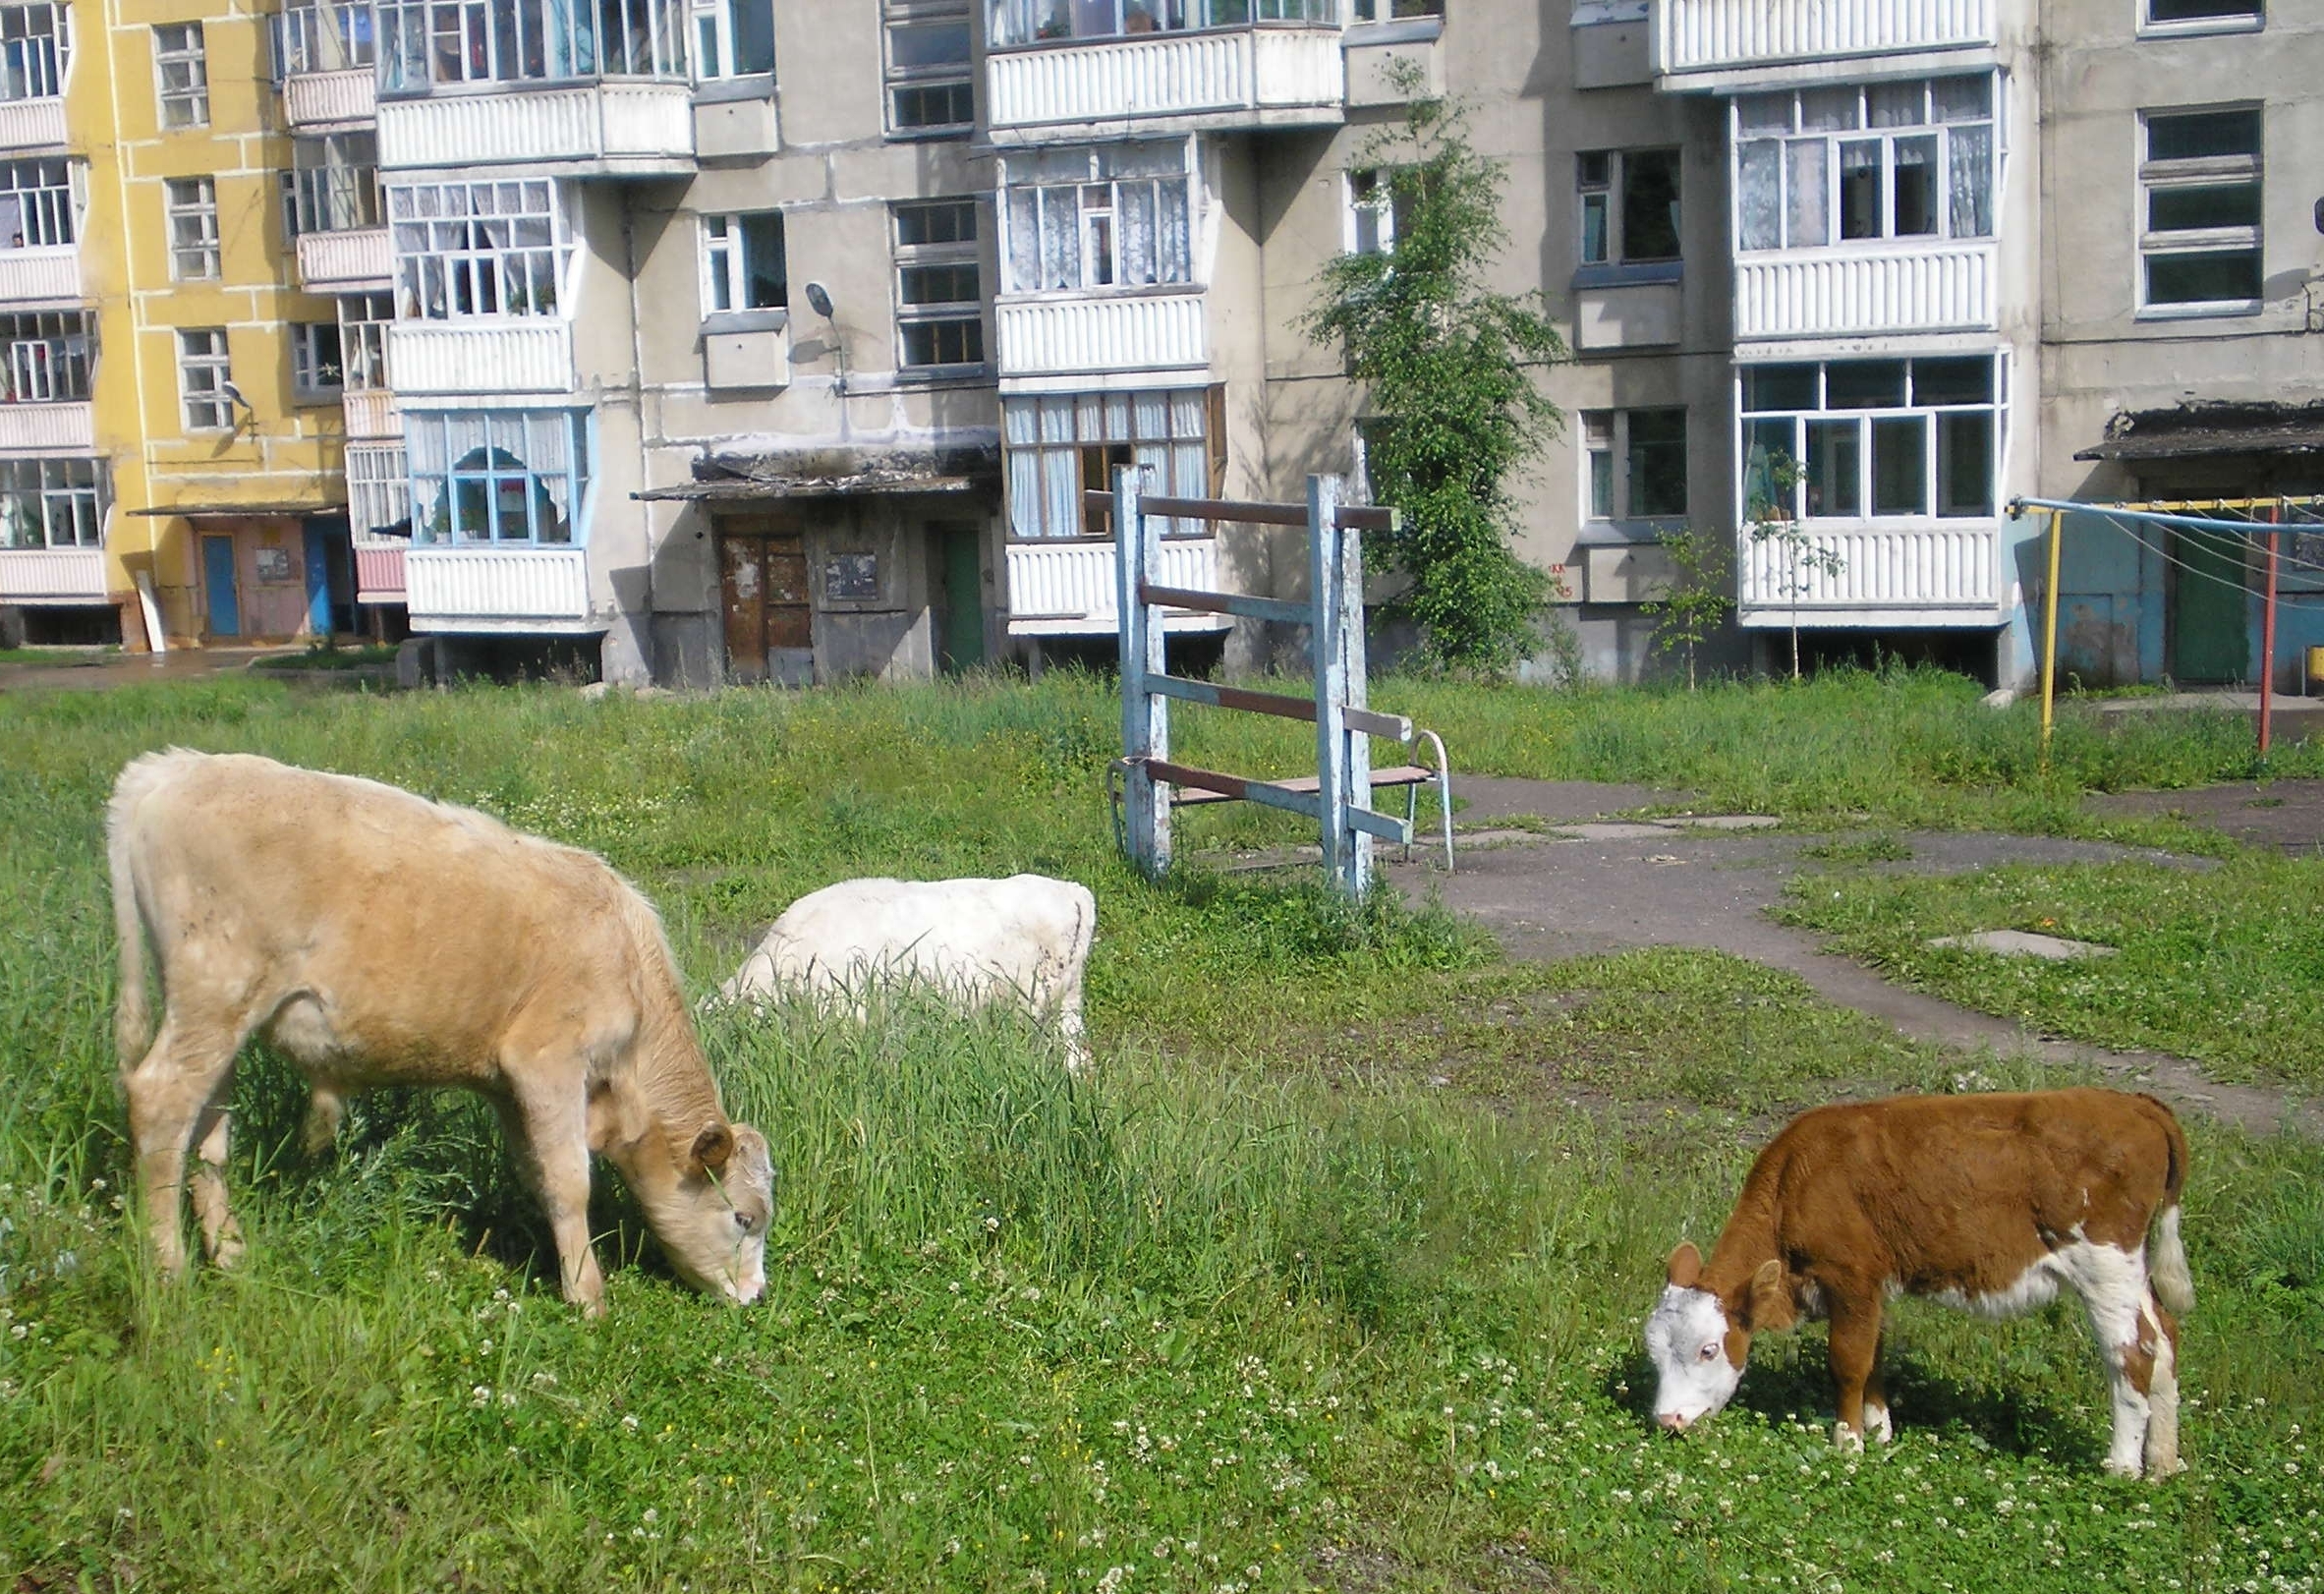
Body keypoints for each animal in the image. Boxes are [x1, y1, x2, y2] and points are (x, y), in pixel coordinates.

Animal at [109, 757, 775, 1319]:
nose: (756, 1295)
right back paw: (169, 1274)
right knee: (161, 1102)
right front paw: (588, 1297)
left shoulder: (507, 1083)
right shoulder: (548, 1060)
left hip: (219, 1017)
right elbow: (569, 1181)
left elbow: (538, 1174)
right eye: (744, 1218)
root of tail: (171, 767)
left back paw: (228, 1254)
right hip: (214, 991)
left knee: (205, 1132)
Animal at [1645, 1092, 2184, 1477]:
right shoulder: (1874, 1285)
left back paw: (2121, 1466)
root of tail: (2134, 1104)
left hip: (2105, 1264)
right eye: (1654, 1353)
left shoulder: (1851, 1276)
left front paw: (1848, 1442)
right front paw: (1879, 1429)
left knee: (2133, 1353)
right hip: (2133, 1270)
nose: (1667, 1421)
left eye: (1709, 1349)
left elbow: (1848, 1361)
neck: (1799, 1180)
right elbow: (1875, 1353)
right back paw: (2163, 1462)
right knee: (2165, 1339)